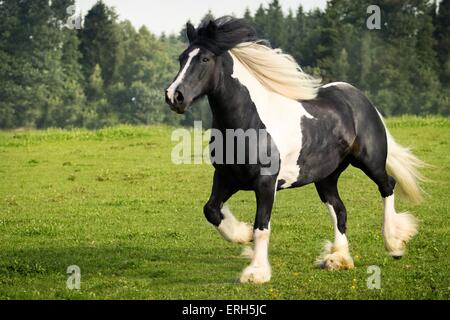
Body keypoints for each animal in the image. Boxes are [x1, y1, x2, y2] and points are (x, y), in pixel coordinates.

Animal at [164, 16, 422, 284]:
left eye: (204, 59)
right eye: (182, 58)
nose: (174, 96)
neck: (248, 122)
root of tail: (358, 97)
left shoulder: (266, 183)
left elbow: (262, 226)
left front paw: (256, 272)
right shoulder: (226, 176)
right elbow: (211, 210)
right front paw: (242, 235)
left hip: (370, 161)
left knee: (387, 185)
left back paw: (394, 243)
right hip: (326, 177)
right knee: (339, 209)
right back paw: (338, 259)